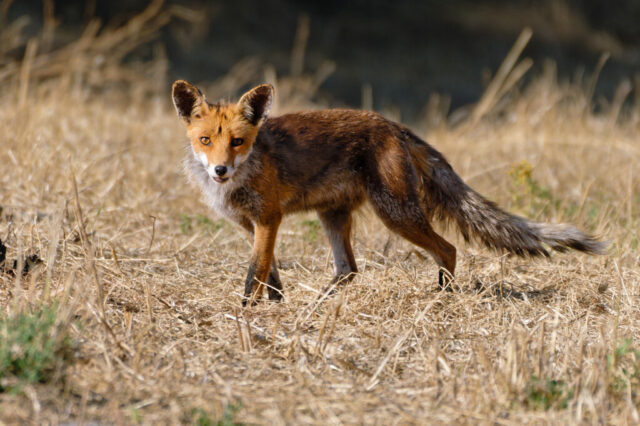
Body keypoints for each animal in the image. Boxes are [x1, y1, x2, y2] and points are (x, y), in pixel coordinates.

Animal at [172, 80, 605, 305]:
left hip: (395, 213)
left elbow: (255, 274)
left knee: (447, 249)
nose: (220, 170)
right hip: (334, 216)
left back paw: (442, 296)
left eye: (238, 142)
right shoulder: (250, 224)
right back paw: (320, 303)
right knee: (348, 269)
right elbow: (271, 274)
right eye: (206, 140)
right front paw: (277, 307)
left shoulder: (268, 218)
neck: (241, 179)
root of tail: (394, 125)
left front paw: (245, 314)